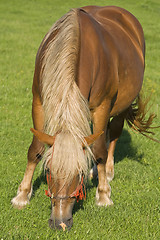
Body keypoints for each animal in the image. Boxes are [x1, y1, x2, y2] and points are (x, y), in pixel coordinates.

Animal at [10, 5, 156, 231]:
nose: (60, 223)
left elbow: (100, 150)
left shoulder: (102, 107)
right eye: (49, 170)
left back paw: (108, 171)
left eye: (79, 173)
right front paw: (22, 196)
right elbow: (35, 150)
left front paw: (103, 196)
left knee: (112, 134)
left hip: (121, 105)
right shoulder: (38, 101)